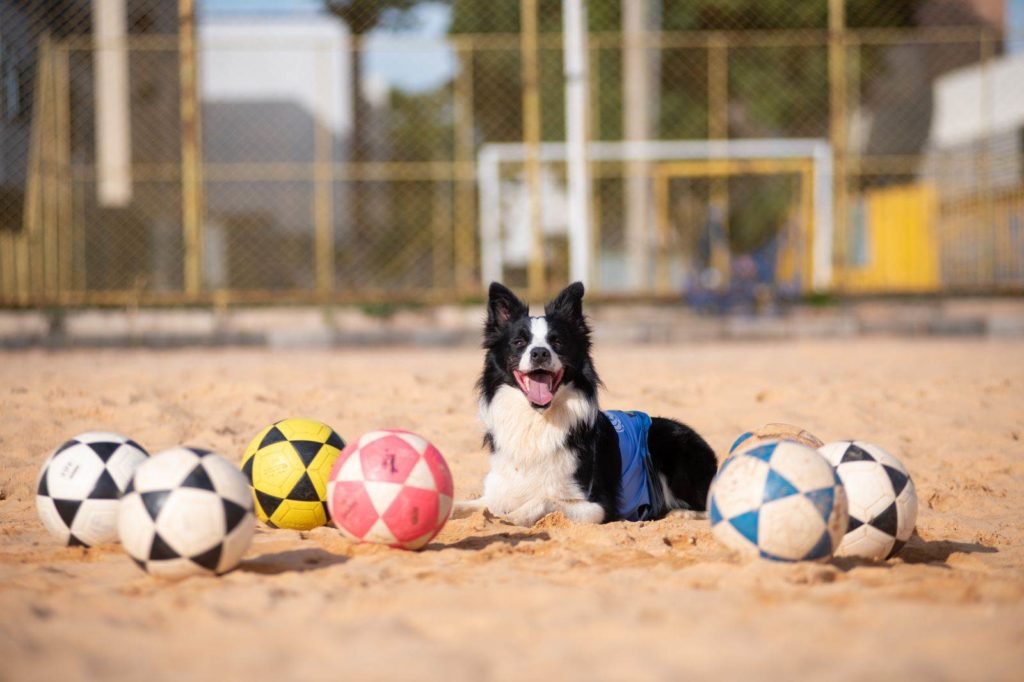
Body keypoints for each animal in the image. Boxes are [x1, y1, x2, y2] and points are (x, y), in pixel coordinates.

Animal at [460, 280, 716, 524]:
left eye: (557, 342)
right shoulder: (498, 493)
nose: (540, 353)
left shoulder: (598, 506)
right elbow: (463, 504)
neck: (537, 420)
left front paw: (514, 517)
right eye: (519, 342)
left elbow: (546, 498)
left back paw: (682, 513)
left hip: (671, 448)